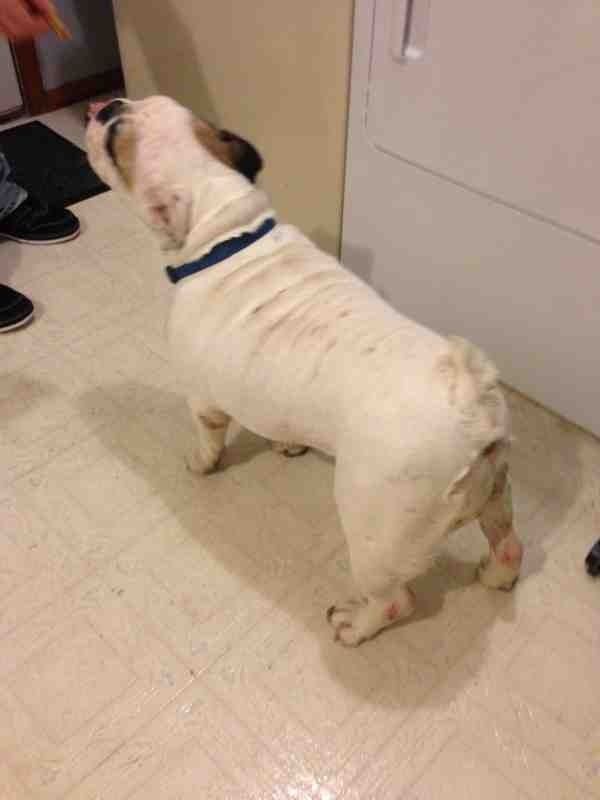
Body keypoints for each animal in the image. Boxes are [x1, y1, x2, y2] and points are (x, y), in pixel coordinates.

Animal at [86, 95, 523, 646]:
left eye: (114, 137)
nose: (104, 104)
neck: (227, 232)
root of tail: (470, 402)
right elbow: (279, 426)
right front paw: (287, 446)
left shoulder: (203, 398)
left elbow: (209, 435)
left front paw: (202, 463)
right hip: (496, 493)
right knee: (507, 540)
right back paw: (497, 574)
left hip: (375, 533)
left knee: (394, 600)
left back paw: (356, 625)